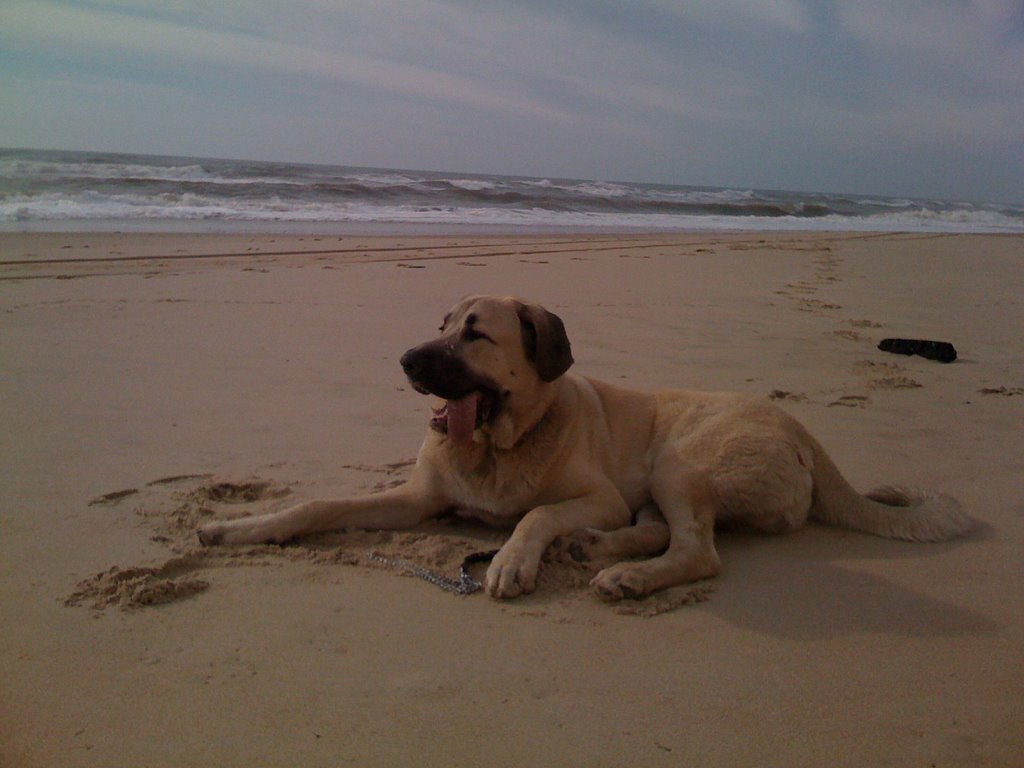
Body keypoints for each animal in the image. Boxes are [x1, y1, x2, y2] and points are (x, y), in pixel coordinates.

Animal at [195, 294, 970, 602]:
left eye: (474, 333)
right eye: (440, 323)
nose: (406, 360)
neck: (497, 446)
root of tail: (801, 428)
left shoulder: (593, 493)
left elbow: (538, 513)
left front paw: (511, 559)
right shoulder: (418, 499)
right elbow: (318, 506)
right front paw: (241, 527)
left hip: (678, 461)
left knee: (700, 550)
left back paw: (624, 573)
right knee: (661, 529)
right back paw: (597, 549)